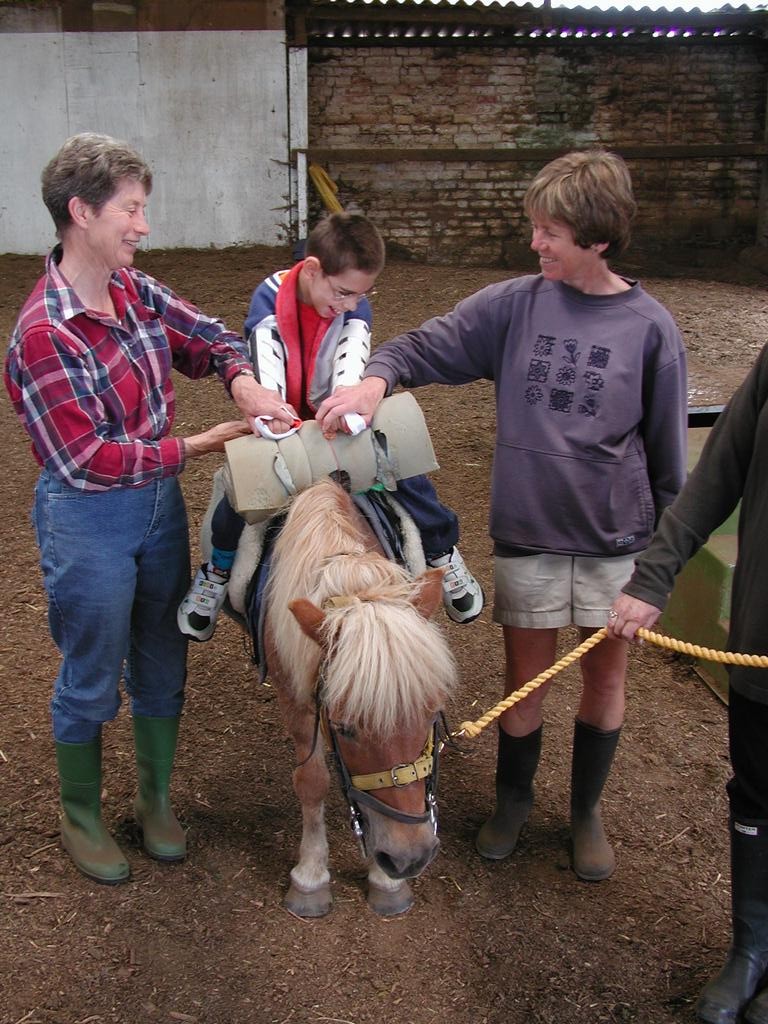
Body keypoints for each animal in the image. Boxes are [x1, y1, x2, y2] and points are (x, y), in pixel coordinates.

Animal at [264, 479, 456, 921]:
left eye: (430, 717)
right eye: (344, 728)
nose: (408, 858)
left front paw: (386, 882)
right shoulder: (295, 696)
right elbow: (311, 781)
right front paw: (311, 876)